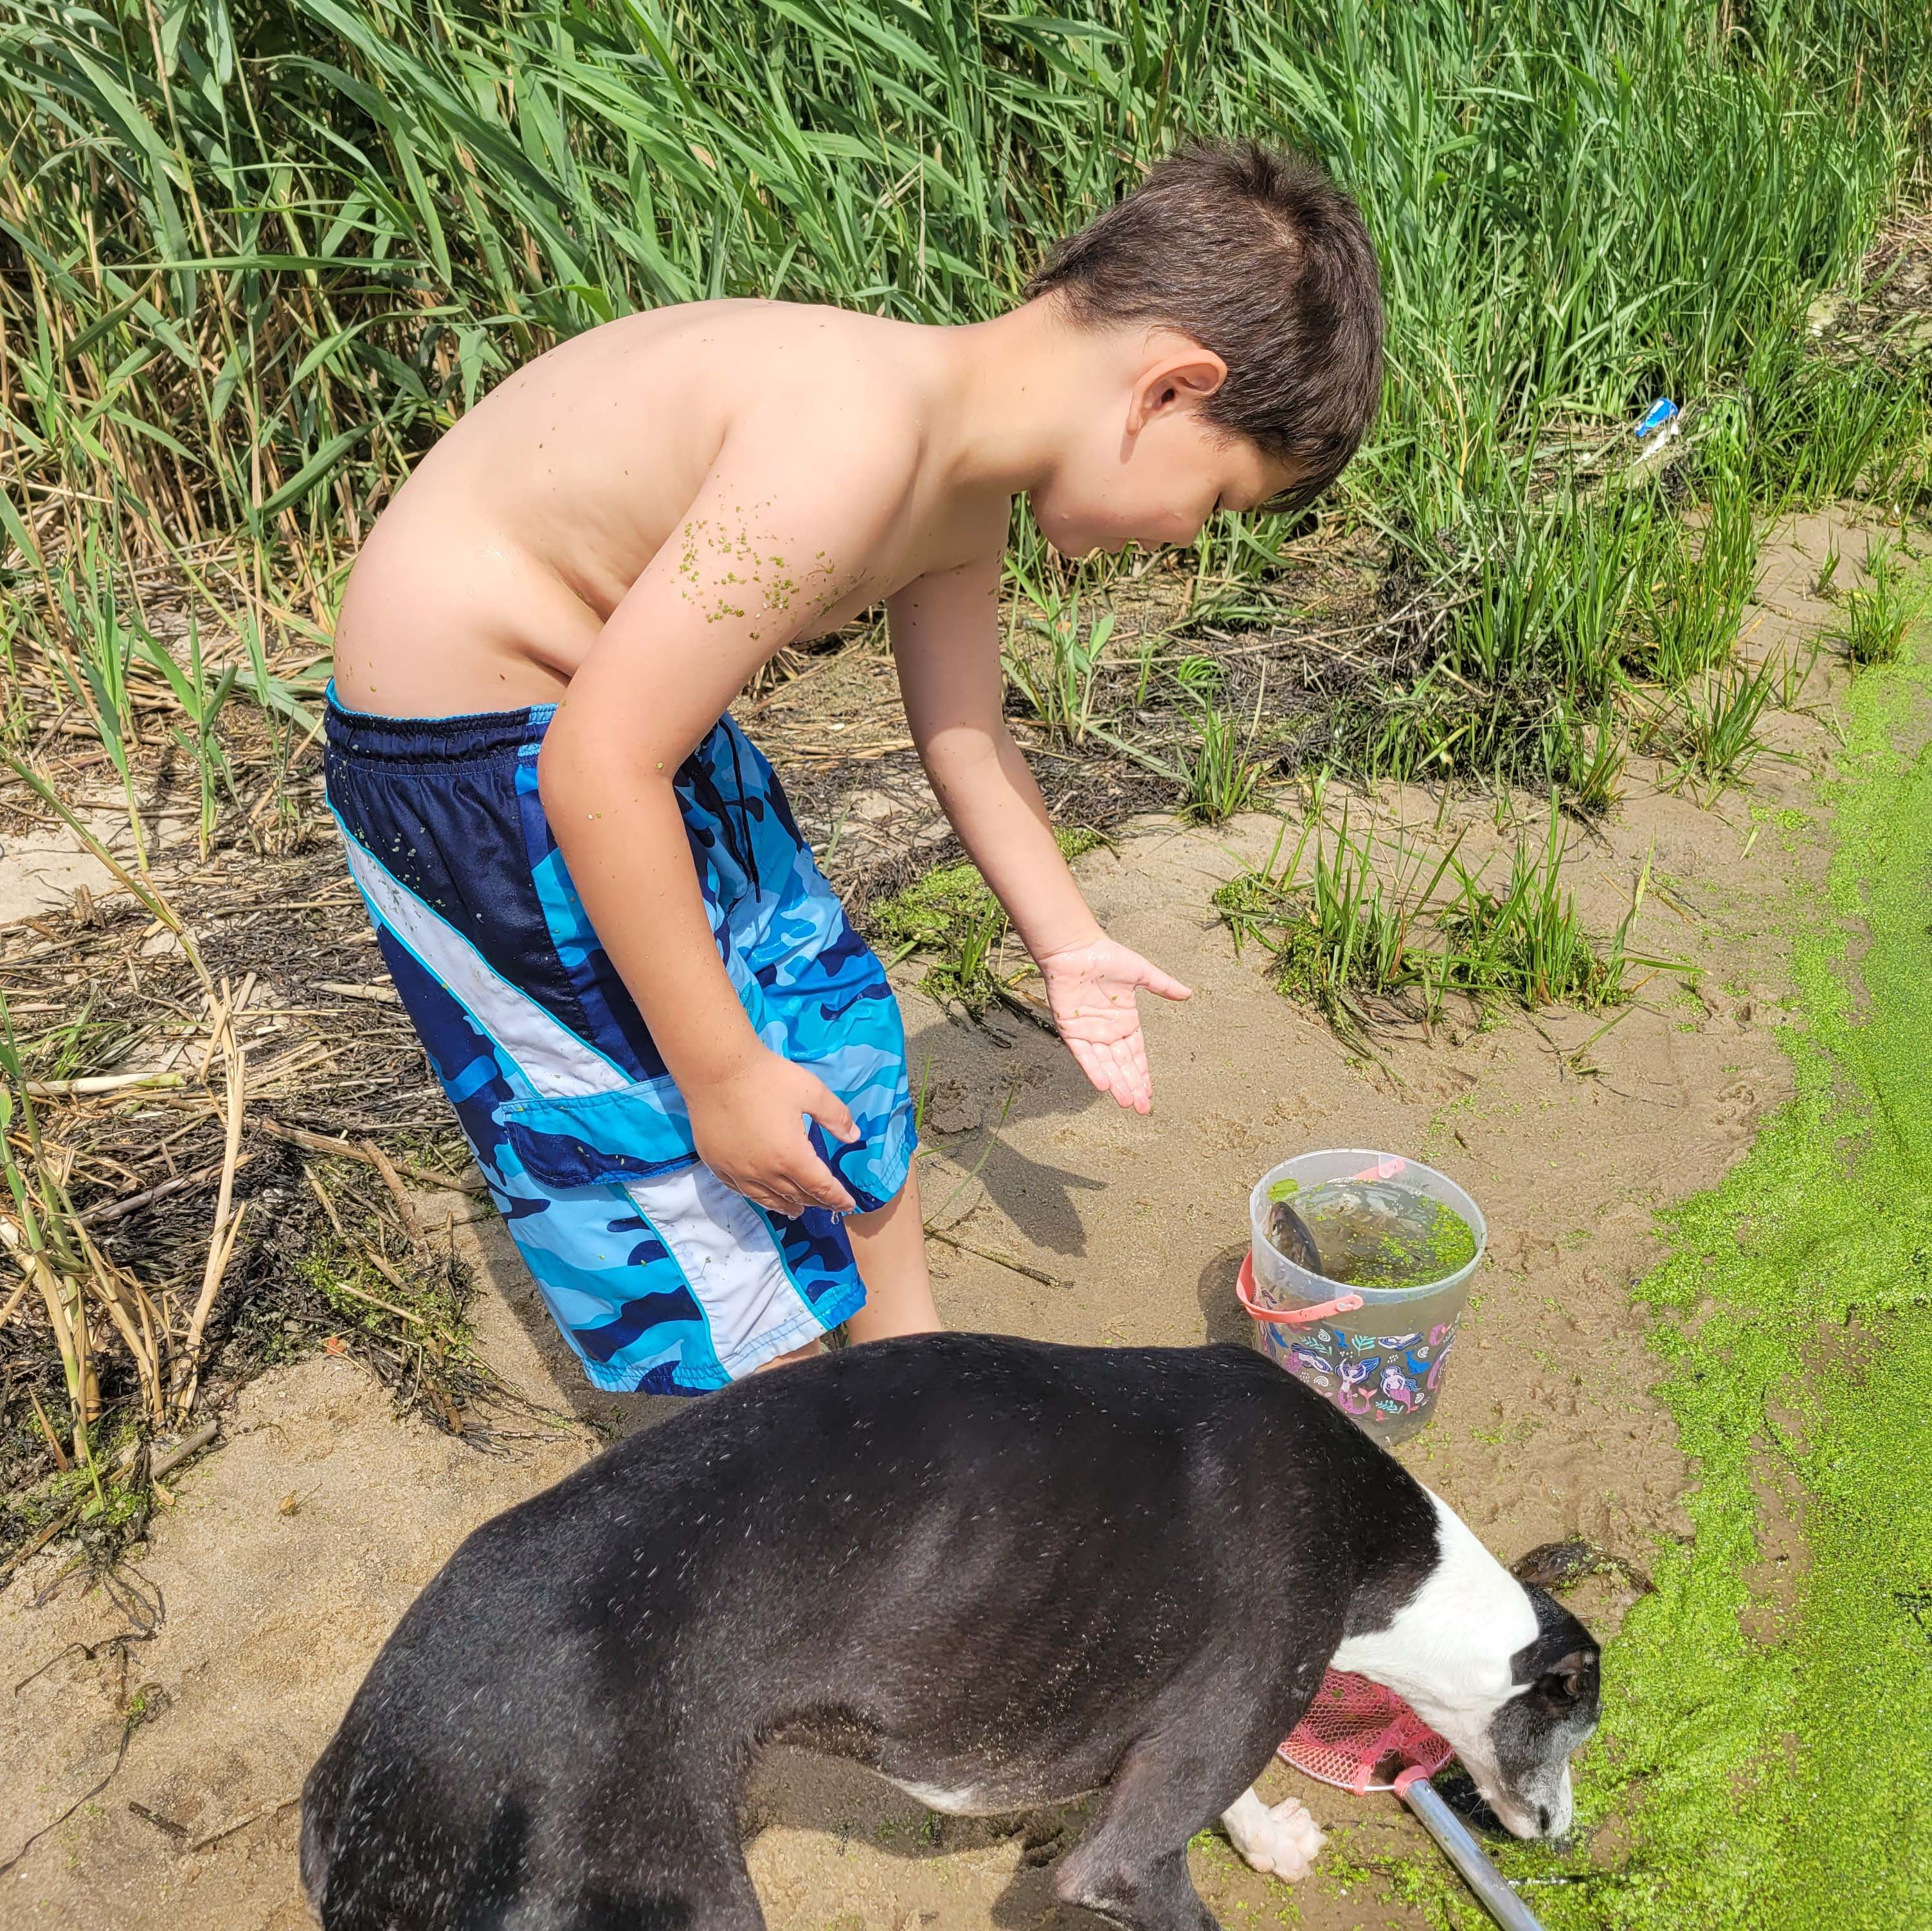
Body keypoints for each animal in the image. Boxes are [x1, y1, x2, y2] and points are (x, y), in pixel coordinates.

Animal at [305, 1336, 1600, 1923]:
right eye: (1580, 1726)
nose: (1560, 1835)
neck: (1389, 1553)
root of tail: (365, 1776)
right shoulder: (1140, 1837)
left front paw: (1270, 1833)